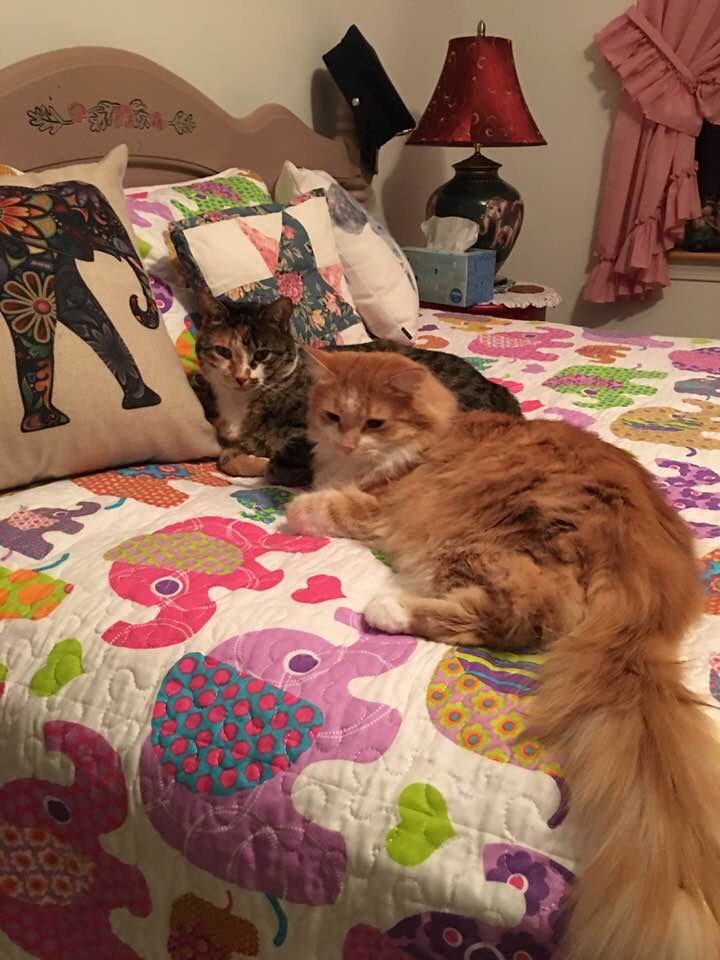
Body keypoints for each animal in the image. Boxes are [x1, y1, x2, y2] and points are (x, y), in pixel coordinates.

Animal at [191, 291, 520, 486]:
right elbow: (225, 458)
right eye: (223, 351)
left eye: (261, 354)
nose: (240, 377)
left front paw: (271, 467)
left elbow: (277, 466)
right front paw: (249, 461)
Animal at [285, 349, 720, 960]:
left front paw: (296, 506)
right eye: (331, 417)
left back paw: (388, 609)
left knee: (517, 616)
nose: (346, 444)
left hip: (477, 543)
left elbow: (324, 507)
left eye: (375, 423)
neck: (434, 435)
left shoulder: (377, 502)